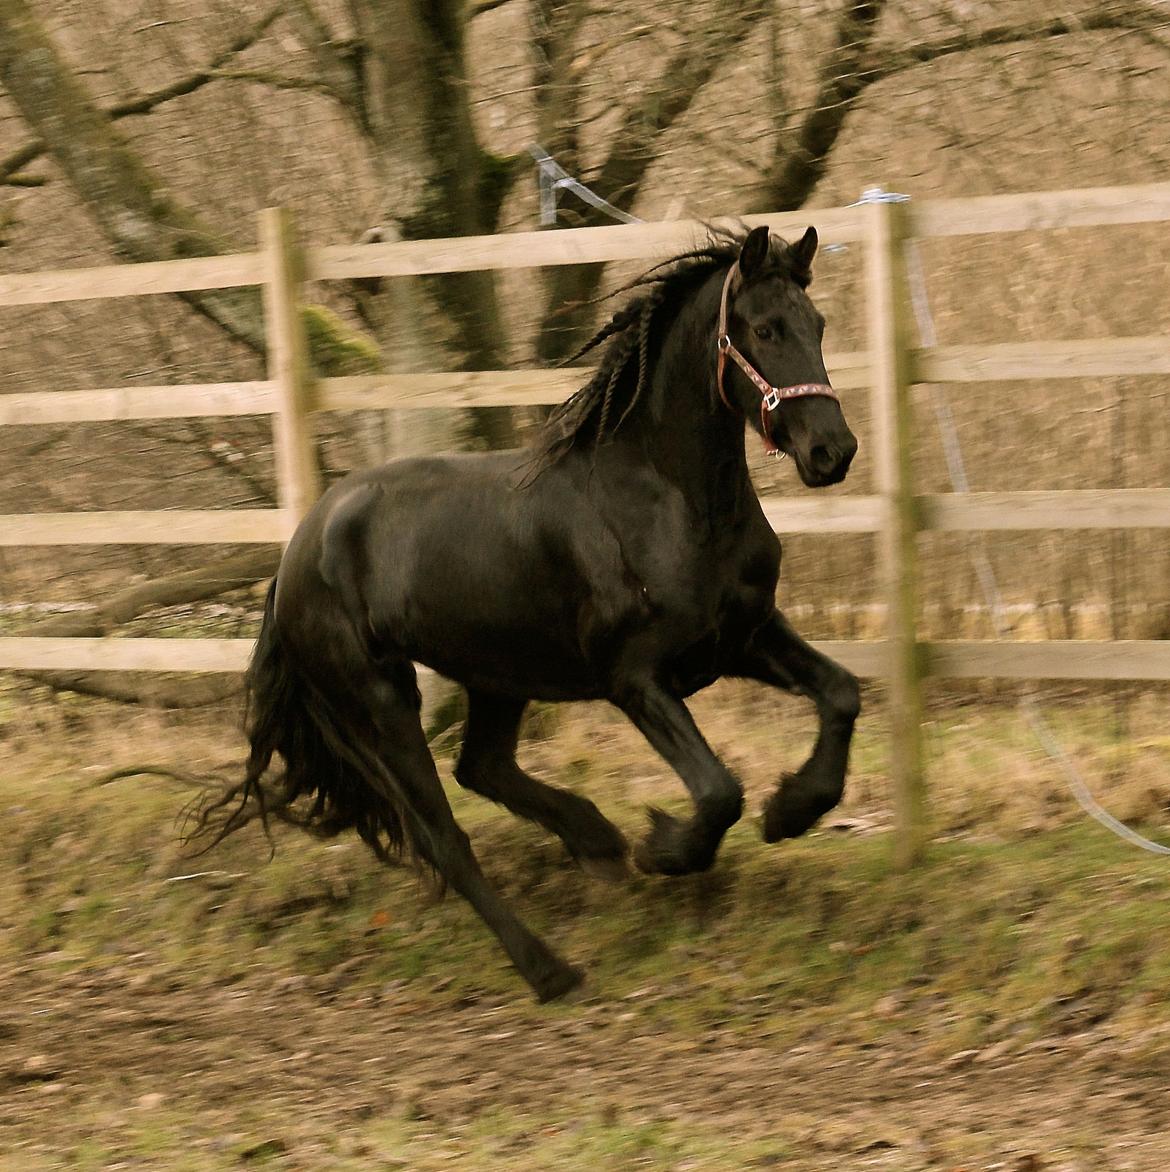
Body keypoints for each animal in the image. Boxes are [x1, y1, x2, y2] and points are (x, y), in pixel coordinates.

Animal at [199, 226, 862, 998]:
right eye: (764, 329)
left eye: (818, 325)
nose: (833, 451)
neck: (670, 501)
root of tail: (295, 556)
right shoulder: (635, 677)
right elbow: (718, 792)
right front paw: (663, 848)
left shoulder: (742, 637)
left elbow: (841, 694)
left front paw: (791, 811)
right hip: (378, 700)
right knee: (444, 837)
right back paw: (550, 969)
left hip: (496, 675)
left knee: (480, 769)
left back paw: (594, 841)